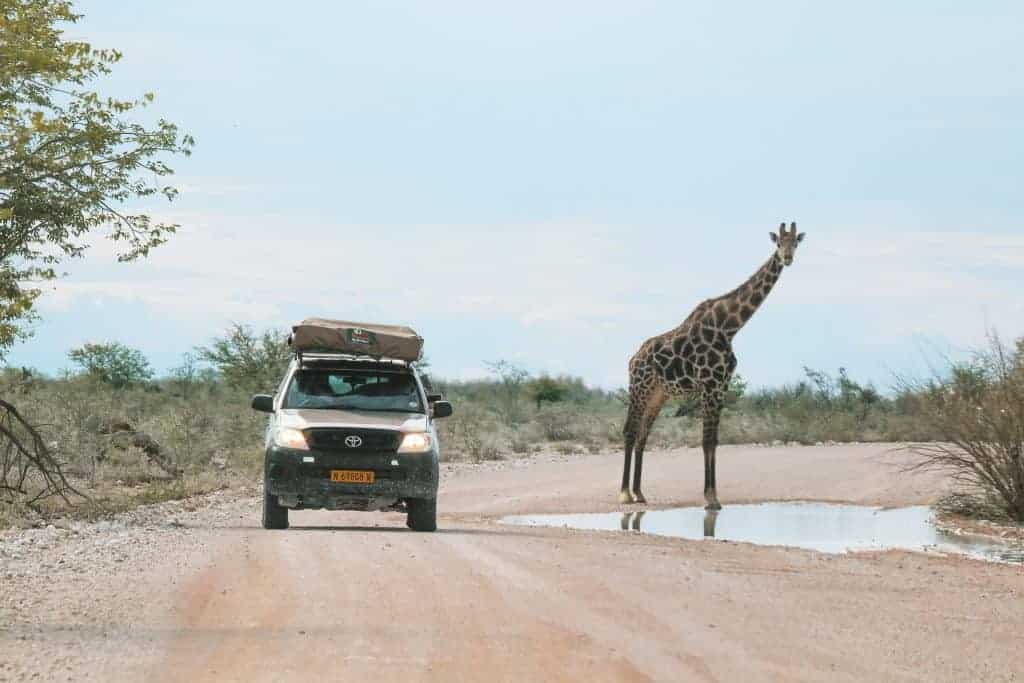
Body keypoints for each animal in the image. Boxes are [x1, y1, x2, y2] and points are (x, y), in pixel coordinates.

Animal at [618, 222, 802, 509]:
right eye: (778, 243)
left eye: (795, 243)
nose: (787, 258)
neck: (729, 327)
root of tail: (633, 359)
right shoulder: (708, 384)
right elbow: (705, 440)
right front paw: (710, 497)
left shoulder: (720, 386)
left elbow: (714, 441)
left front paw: (714, 496)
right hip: (640, 388)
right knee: (629, 431)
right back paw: (625, 493)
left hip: (658, 394)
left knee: (642, 435)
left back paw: (639, 493)